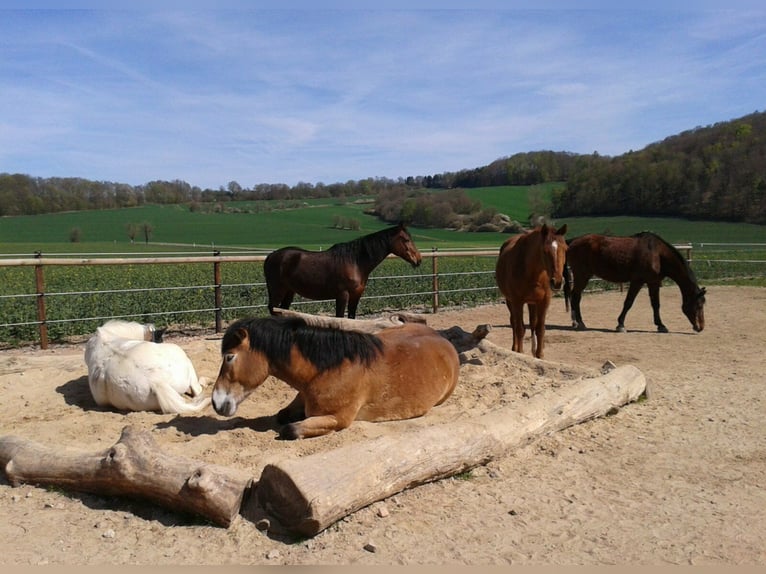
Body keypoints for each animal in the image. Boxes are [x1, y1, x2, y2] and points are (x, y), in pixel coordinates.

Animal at [212, 316, 462, 440]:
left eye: (230, 356)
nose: (216, 402)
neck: (328, 370)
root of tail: (442, 339)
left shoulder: (337, 419)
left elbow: (290, 429)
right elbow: (282, 416)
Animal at [262, 224, 420, 320]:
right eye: (406, 240)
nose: (418, 260)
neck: (355, 262)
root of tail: (271, 256)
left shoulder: (356, 295)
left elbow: (351, 318)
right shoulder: (342, 295)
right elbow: (340, 318)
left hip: (289, 292)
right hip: (277, 291)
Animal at [498, 225, 568, 360]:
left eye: (565, 249)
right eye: (545, 251)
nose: (557, 282)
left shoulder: (544, 301)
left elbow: (540, 328)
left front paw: (539, 355)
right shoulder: (517, 301)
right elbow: (520, 328)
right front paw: (520, 353)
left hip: (532, 302)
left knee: (532, 323)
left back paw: (533, 351)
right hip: (510, 301)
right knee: (514, 322)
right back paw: (515, 348)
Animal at [564, 232, 708, 336]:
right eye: (698, 305)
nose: (700, 327)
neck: (657, 254)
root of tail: (572, 242)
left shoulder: (654, 283)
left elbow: (656, 305)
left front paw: (661, 325)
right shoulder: (637, 281)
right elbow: (628, 302)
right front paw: (621, 325)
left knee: (574, 296)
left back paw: (575, 322)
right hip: (582, 275)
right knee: (575, 297)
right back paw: (580, 323)